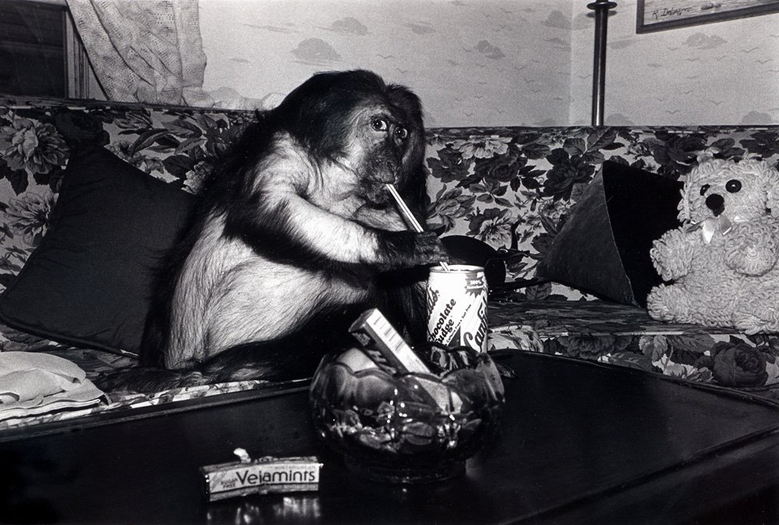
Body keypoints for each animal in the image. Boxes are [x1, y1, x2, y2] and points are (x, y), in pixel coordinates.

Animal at [100, 70, 447, 393]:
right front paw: (399, 247)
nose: (393, 158)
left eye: (402, 133)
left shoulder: (400, 199)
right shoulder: (284, 149)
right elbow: (272, 202)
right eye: (378, 125)